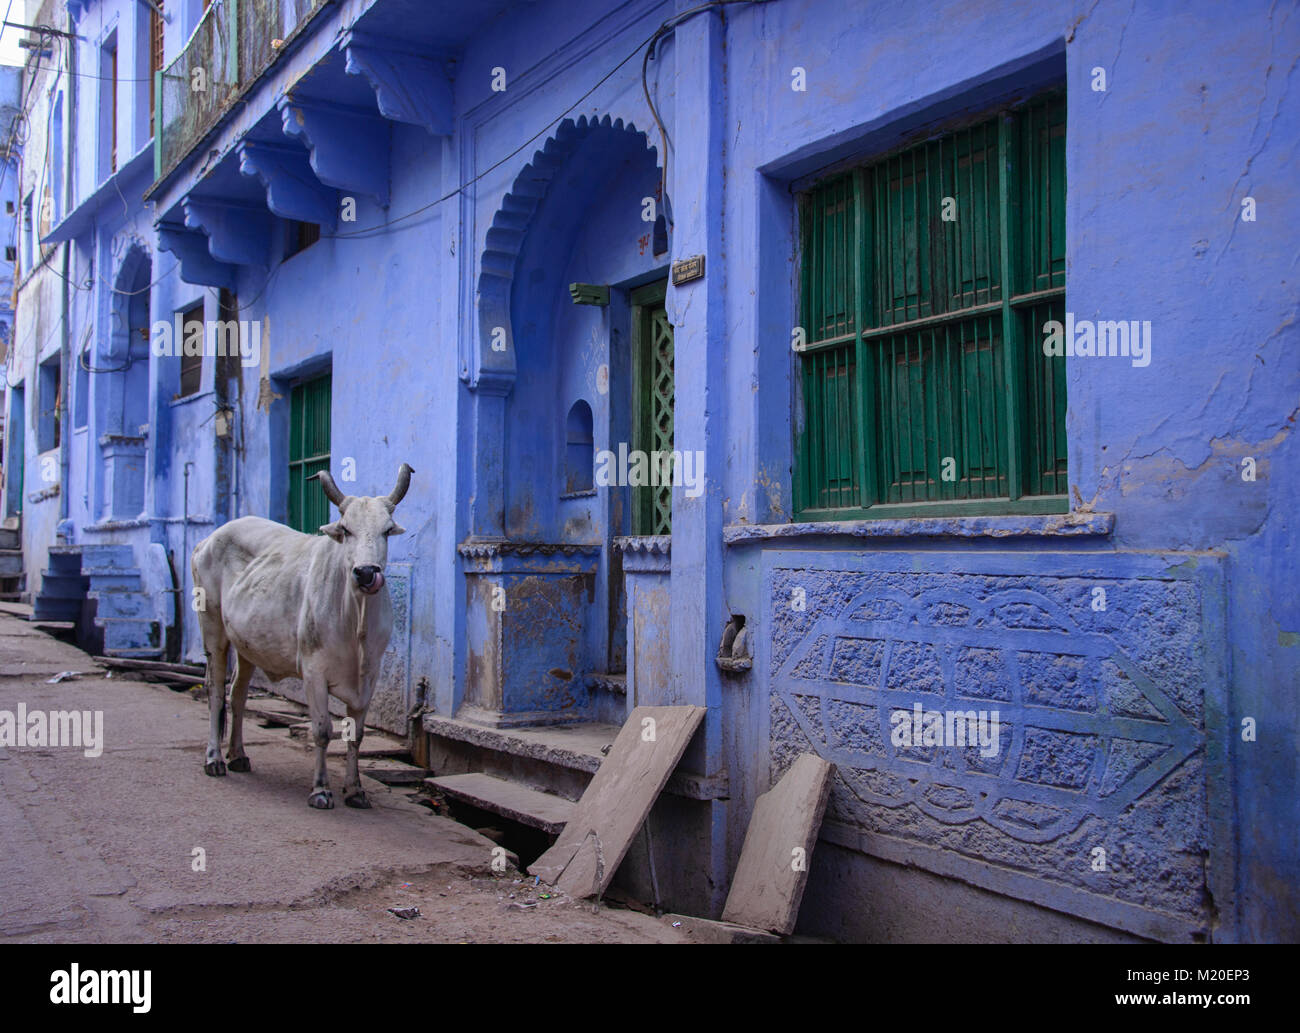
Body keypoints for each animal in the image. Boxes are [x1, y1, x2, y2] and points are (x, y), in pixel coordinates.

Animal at [191, 465, 410, 810]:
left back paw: (238, 755)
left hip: (247, 645)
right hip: (212, 630)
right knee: (215, 692)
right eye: (345, 530)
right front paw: (320, 790)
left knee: (237, 694)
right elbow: (322, 730)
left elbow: (356, 735)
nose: (366, 573)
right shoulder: (313, 671)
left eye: (387, 530)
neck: (355, 621)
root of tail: (209, 540)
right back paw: (214, 759)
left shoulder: (370, 677)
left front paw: (355, 790)